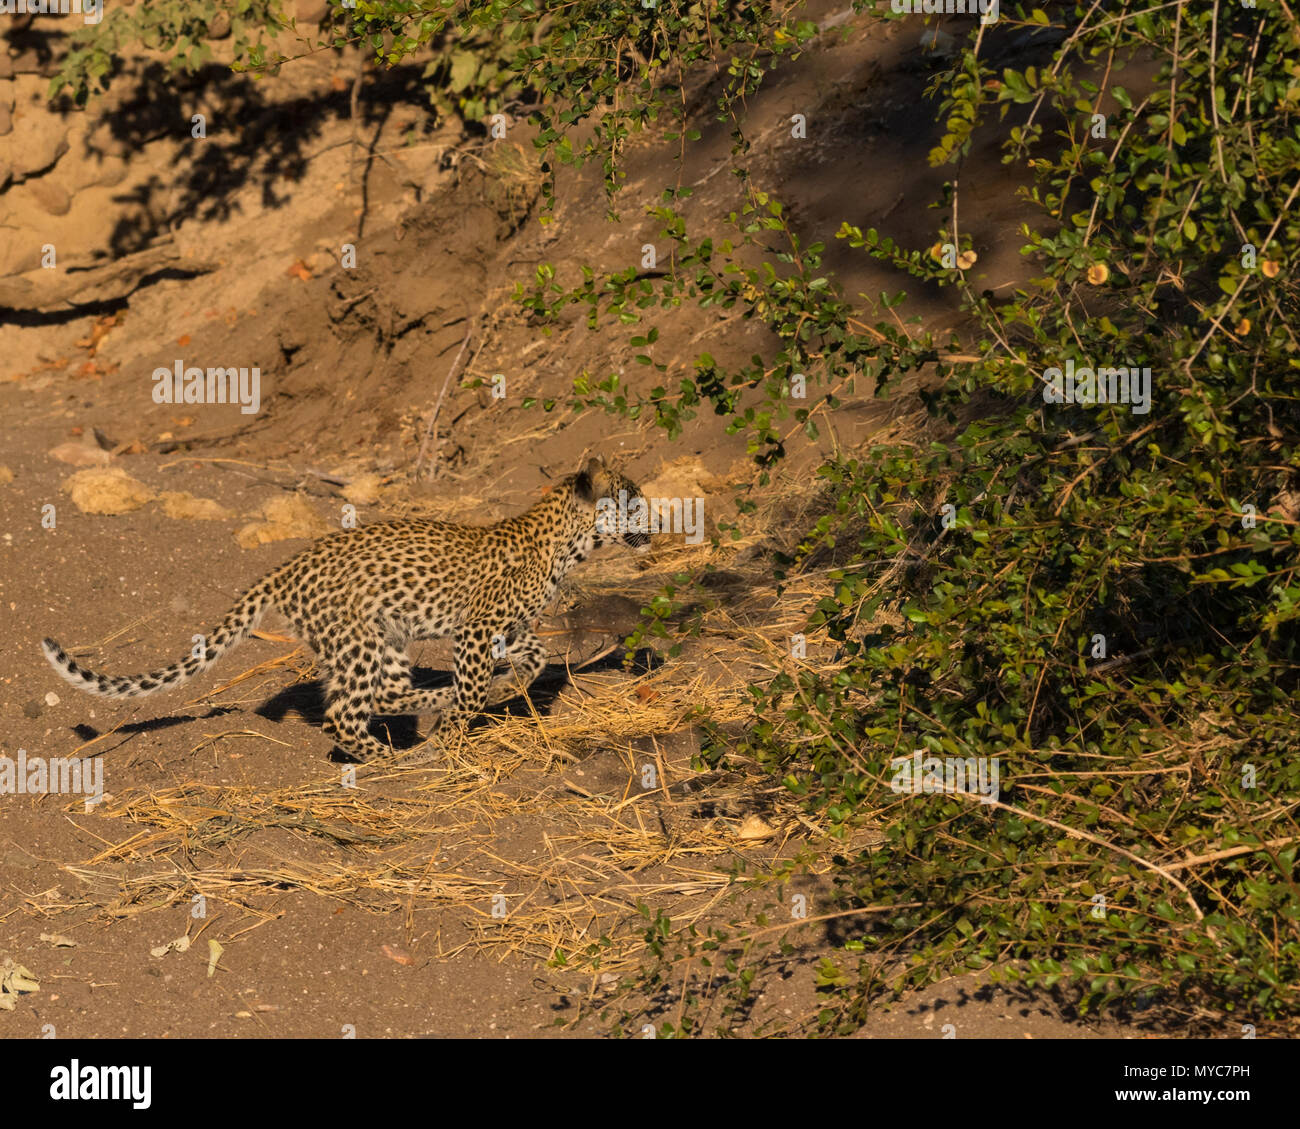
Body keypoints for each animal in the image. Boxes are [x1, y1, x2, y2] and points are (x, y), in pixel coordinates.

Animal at [42, 456, 652, 761]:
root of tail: (284, 568)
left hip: (384, 637)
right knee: (345, 712)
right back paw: (395, 755)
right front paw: (459, 729)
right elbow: (480, 682)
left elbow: (536, 656)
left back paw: (427, 711)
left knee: (379, 695)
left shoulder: (504, 628)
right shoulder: (477, 632)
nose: (656, 526)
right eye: (634, 502)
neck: (568, 545)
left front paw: (511, 688)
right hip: (360, 640)